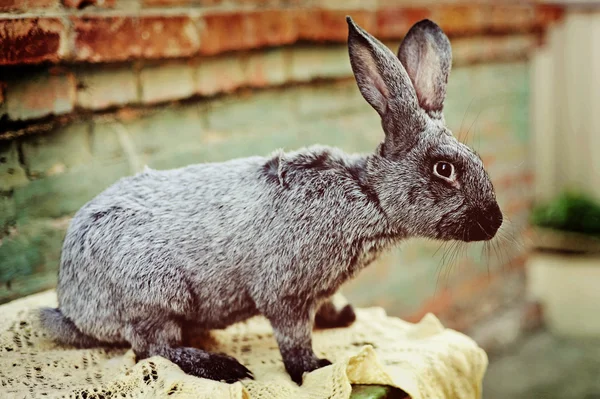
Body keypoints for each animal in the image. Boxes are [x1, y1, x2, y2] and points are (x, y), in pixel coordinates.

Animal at [39, 16, 504, 388]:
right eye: (444, 169)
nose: (495, 221)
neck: (368, 194)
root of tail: (71, 304)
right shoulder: (285, 292)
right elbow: (293, 337)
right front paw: (314, 368)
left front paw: (342, 317)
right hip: (156, 293)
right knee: (151, 347)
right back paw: (223, 367)